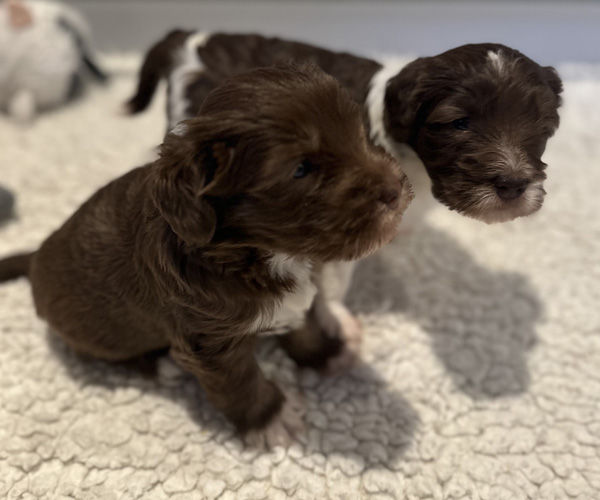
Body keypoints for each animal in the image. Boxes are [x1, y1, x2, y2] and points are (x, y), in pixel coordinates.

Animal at [0, 64, 413, 447]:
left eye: (359, 133)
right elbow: (240, 381)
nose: (394, 189)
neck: (263, 253)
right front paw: (270, 417)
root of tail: (35, 256)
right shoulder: (208, 343)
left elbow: (305, 325)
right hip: (97, 333)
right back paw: (159, 364)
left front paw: (328, 353)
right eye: (300, 169)